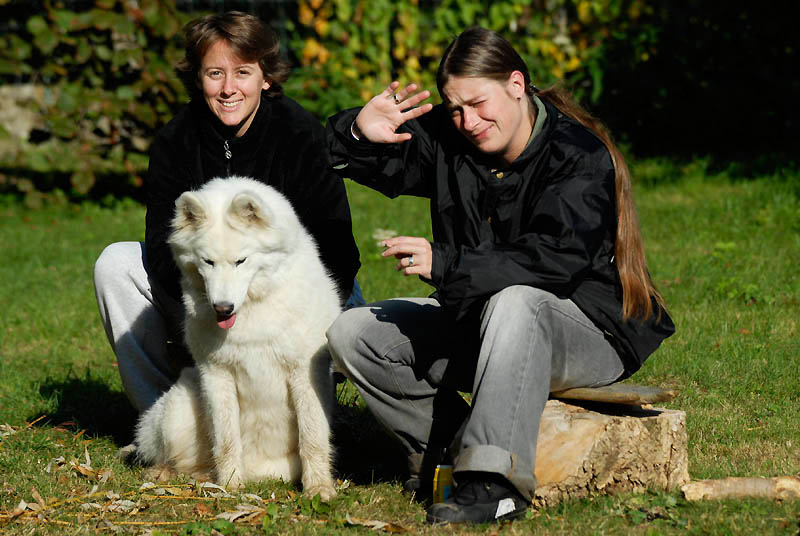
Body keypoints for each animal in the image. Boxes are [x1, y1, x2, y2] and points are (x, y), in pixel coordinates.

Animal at [133, 178, 340, 500]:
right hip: (179, 410)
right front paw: (231, 485)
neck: (254, 308)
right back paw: (171, 473)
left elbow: (313, 437)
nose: (222, 308)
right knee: (180, 459)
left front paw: (319, 488)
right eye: (208, 262)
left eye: (241, 261)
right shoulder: (216, 374)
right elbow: (226, 438)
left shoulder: (305, 373)